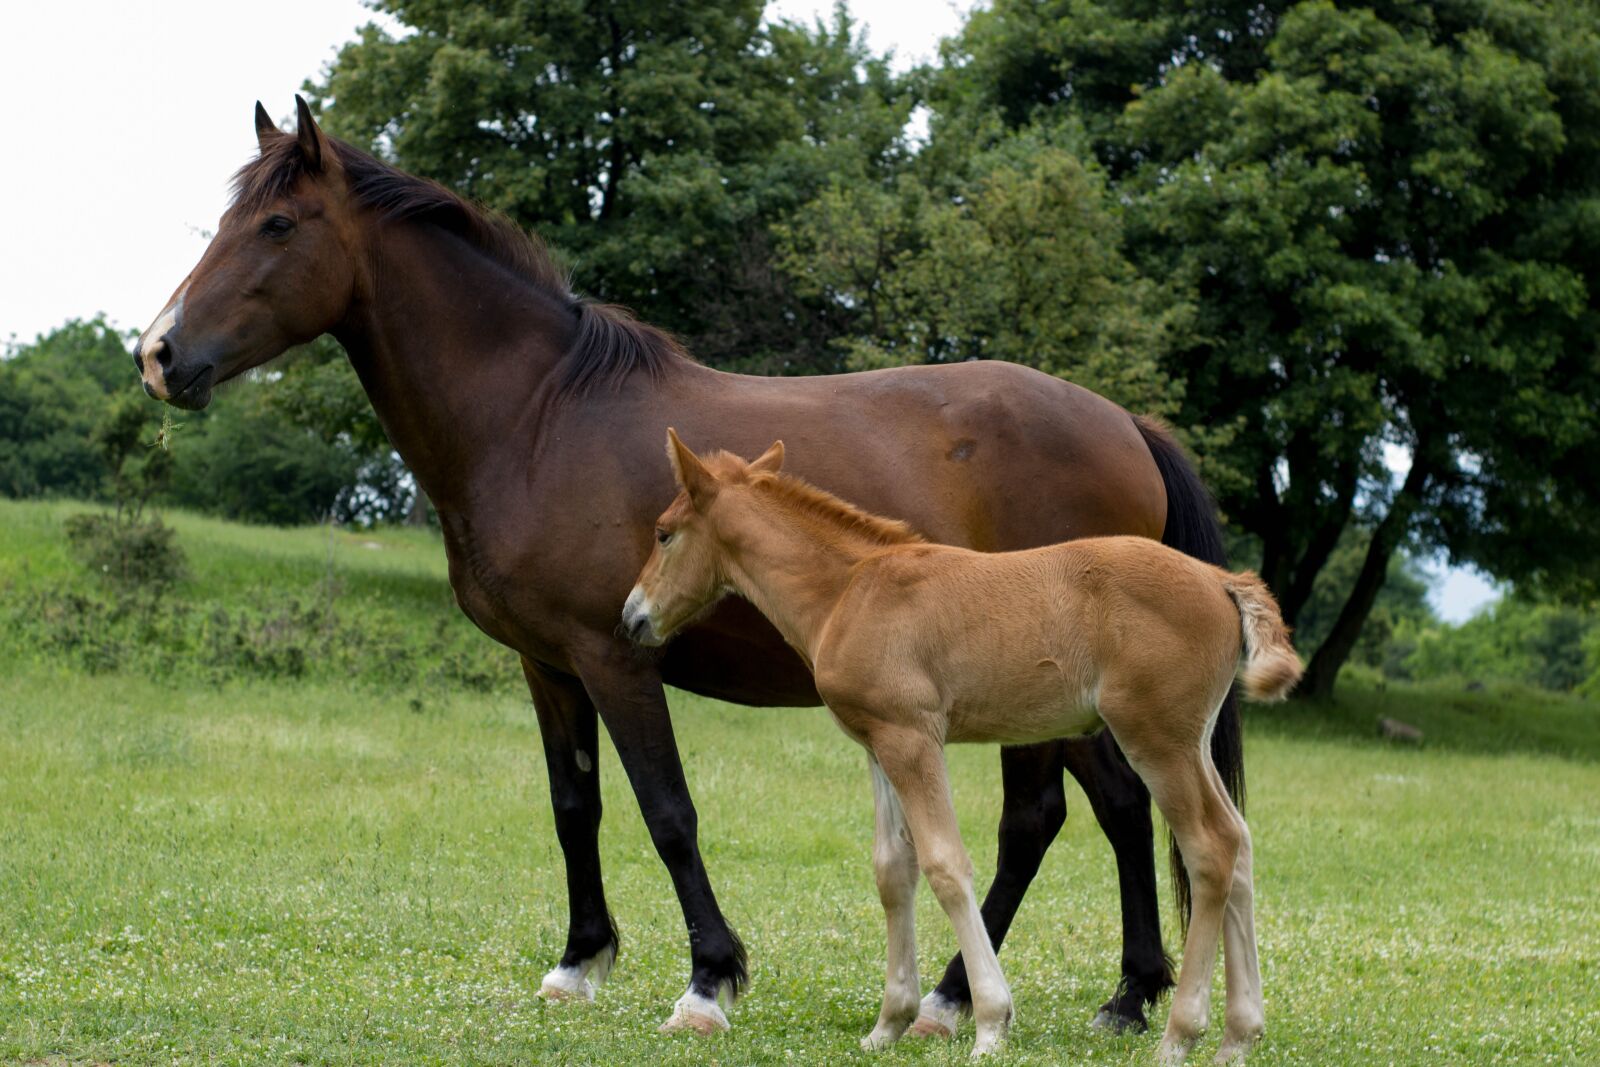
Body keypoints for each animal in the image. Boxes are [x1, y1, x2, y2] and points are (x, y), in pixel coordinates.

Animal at [131, 96, 1245, 1037]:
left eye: (277, 227)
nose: (157, 354)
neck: (536, 416)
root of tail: (1126, 422)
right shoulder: (548, 664)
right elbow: (574, 807)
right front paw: (577, 962)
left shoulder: (615, 655)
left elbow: (668, 811)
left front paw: (709, 979)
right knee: (1115, 805)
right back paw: (1121, 993)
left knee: (1041, 816)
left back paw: (956, 997)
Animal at [624, 431, 1301, 1062]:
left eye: (663, 533)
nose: (632, 618)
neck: (849, 589)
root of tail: (1221, 580)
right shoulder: (877, 743)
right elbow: (893, 870)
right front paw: (887, 1025)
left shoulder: (913, 737)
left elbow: (946, 865)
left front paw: (989, 1022)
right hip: (1192, 742)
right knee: (1239, 842)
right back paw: (1239, 1036)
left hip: (1157, 739)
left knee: (1210, 847)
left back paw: (1180, 1035)